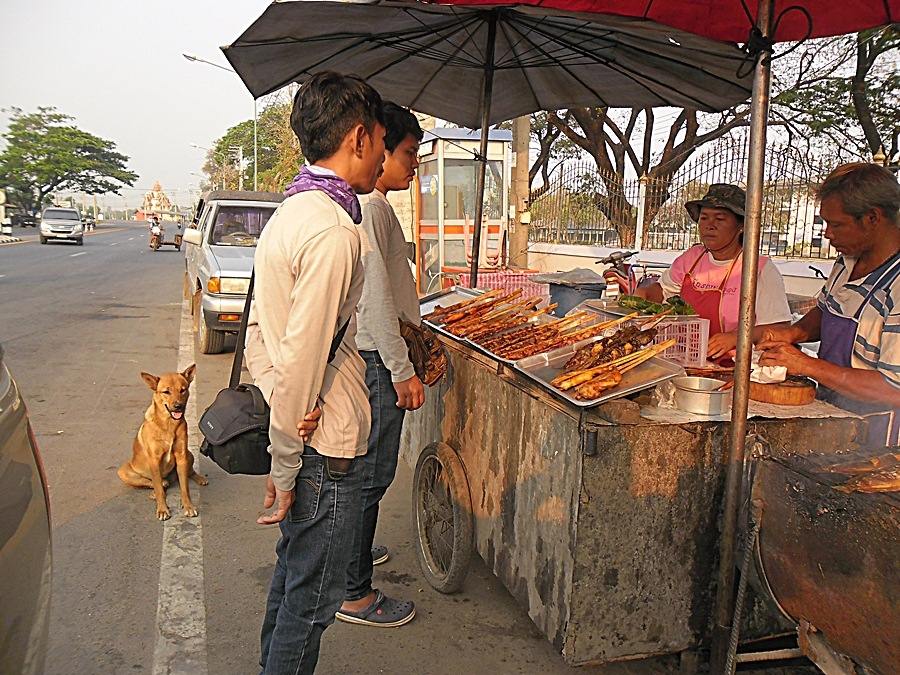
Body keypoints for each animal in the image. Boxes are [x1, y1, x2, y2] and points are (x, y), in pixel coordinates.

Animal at [115, 368, 207, 520]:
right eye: (166, 392)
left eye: (183, 390)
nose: (178, 406)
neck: (169, 425)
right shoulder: (154, 460)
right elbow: (158, 489)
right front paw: (162, 509)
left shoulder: (181, 456)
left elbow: (185, 487)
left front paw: (188, 506)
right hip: (124, 471)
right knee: (151, 483)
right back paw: (158, 488)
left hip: (189, 454)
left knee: (189, 472)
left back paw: (199, 478)